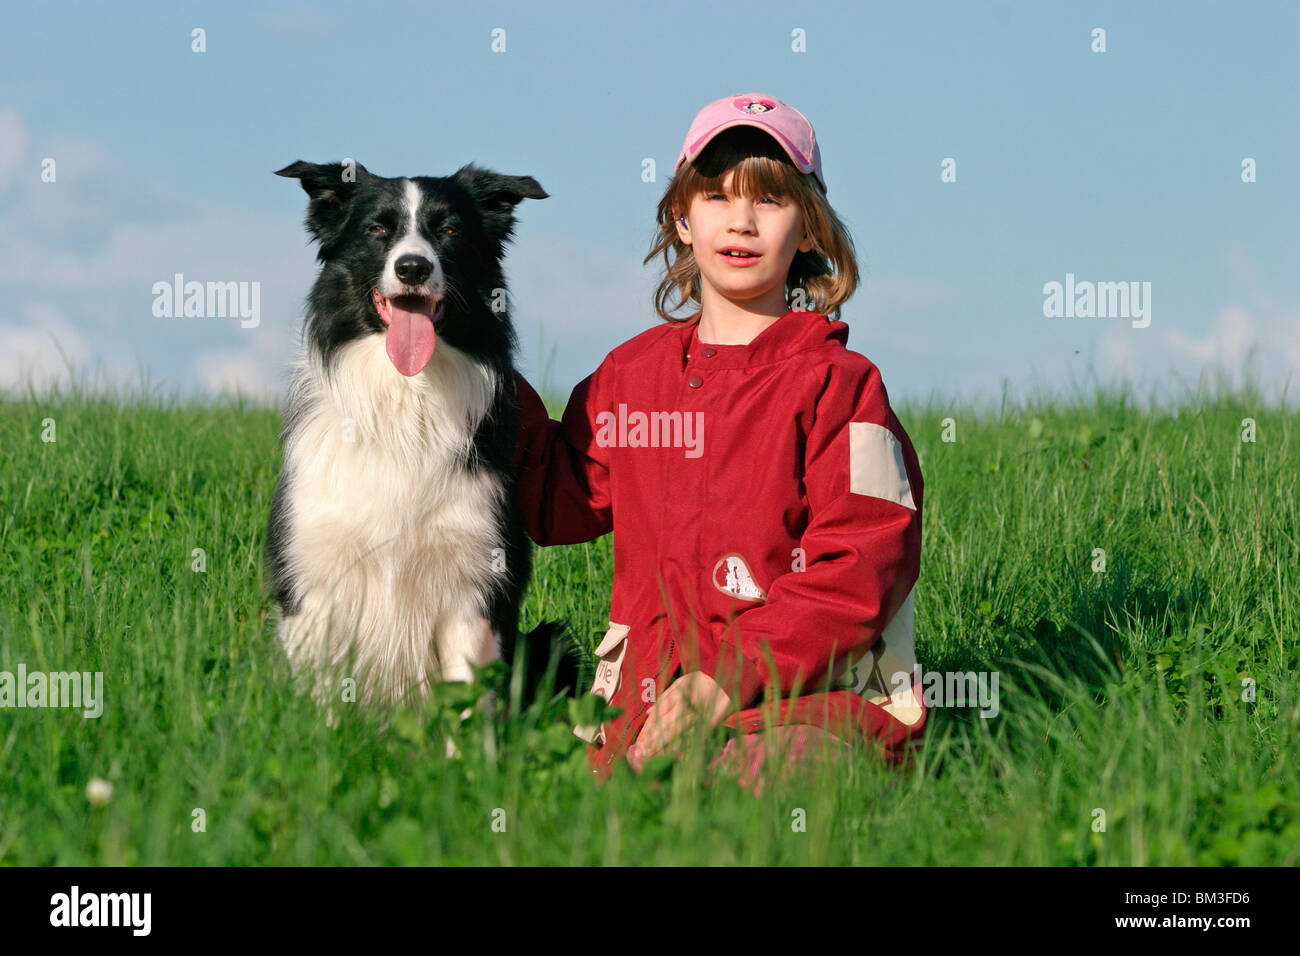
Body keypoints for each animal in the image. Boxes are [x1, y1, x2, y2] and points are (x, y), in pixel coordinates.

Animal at [263, 158, 569, 712]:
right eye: (376, 229)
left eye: (449, 230)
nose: (412, 268)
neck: (407, 396)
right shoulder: (316, 578)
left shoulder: (475, 581)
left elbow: (468, 700)